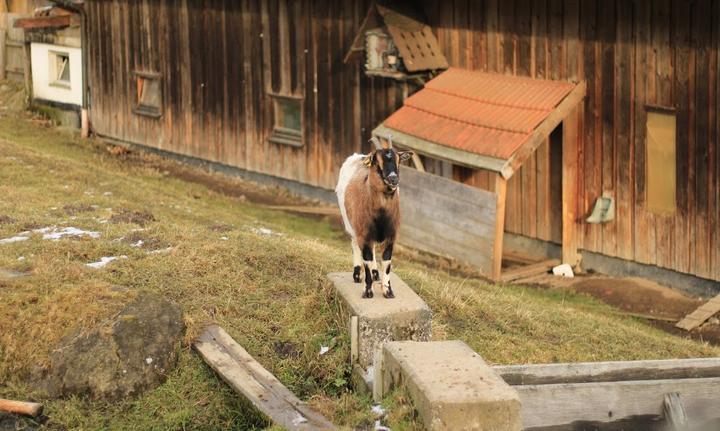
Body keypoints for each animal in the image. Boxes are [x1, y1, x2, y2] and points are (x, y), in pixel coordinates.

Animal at [336, 137, 414, 298]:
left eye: (398, 160)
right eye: (377, 161)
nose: (393, 179)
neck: (381, 216)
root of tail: (358, 156)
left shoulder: (391, 236)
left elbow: (386, 261)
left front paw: (388, 291)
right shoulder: (363, 234)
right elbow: (366, 259)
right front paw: (367, 291)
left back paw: (376, 274)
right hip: (350, 224)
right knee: (355, 245)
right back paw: (357, 275)